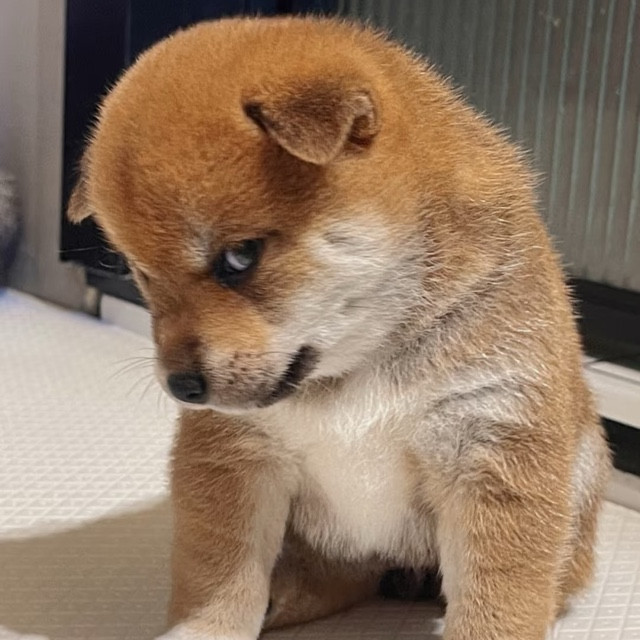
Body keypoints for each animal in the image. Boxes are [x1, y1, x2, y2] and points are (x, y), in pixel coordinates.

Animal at [68, 16, 611, 640]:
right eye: (139, 273)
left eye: (240, 258)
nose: (181, 386)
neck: (359, 365)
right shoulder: (236, 458)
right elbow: (219, 572)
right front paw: (207, 628)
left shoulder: (492, 439)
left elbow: (500, 595)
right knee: (335, 577)